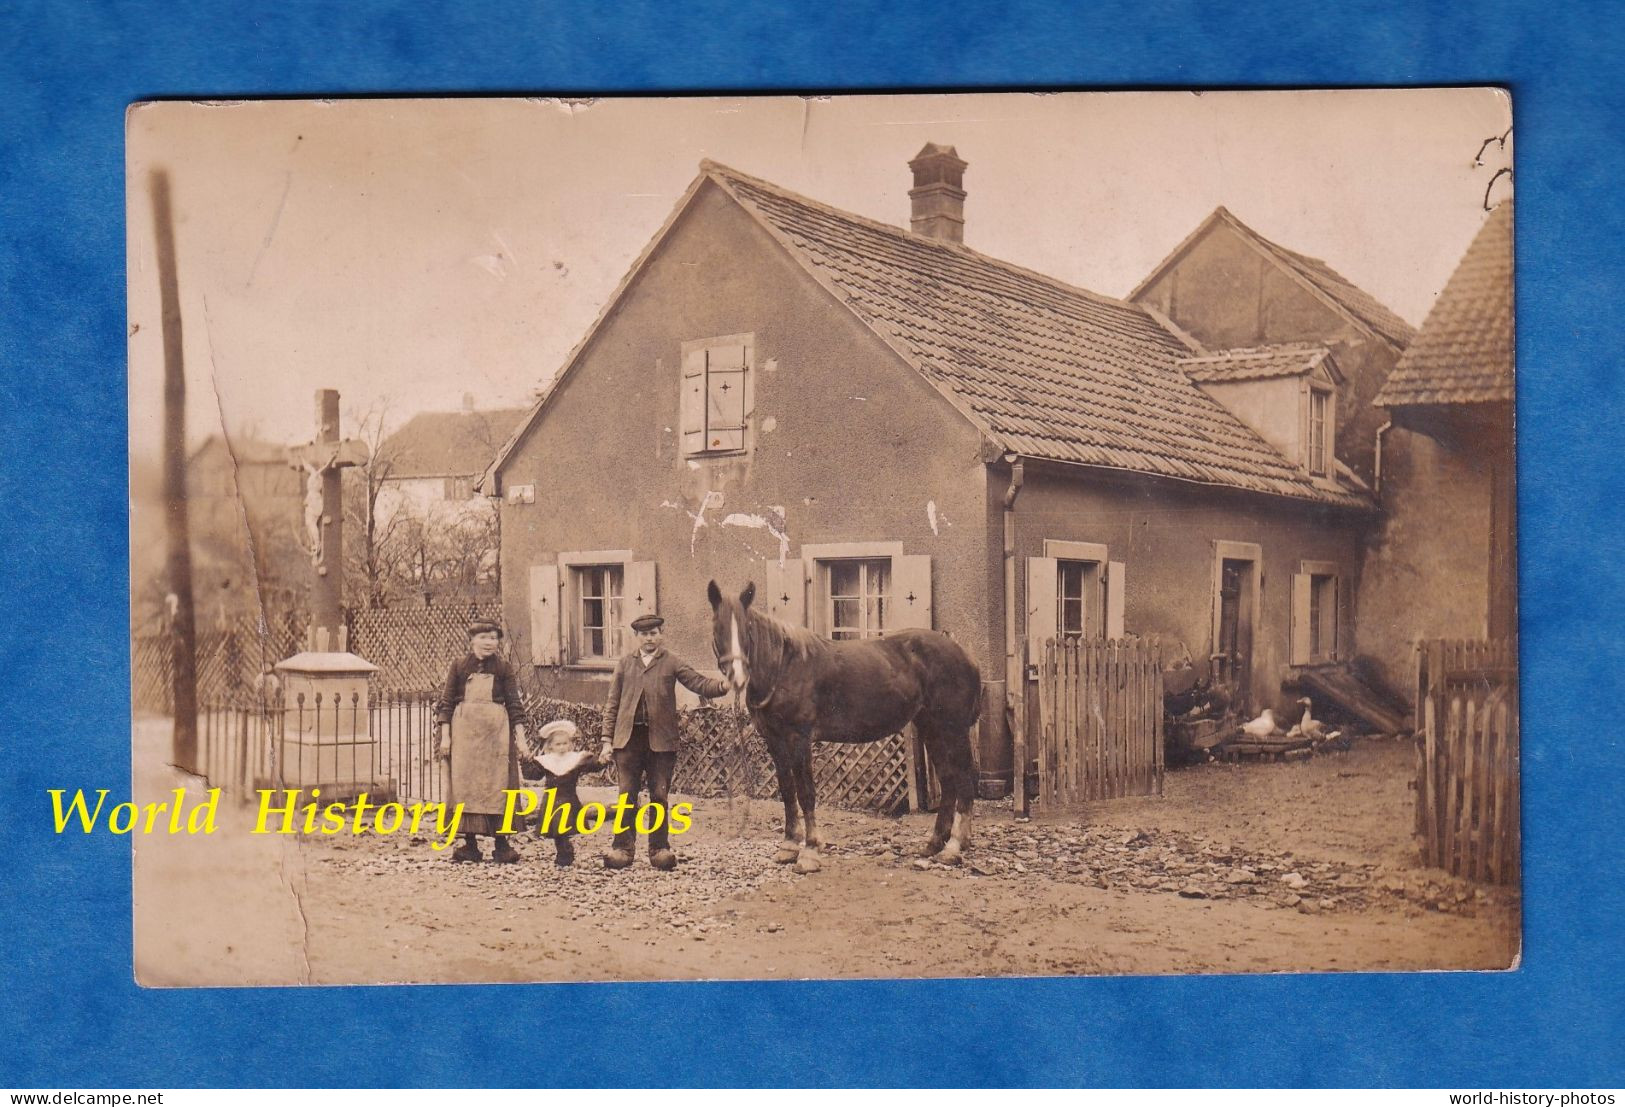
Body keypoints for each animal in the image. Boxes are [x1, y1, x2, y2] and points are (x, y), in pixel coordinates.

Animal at [708, 578, 975, 871]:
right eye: (717, 628)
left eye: (747, 629)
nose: (737, 677)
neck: (785, 666)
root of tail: (963, 654)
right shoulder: (774, 741)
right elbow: (787, 791)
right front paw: (789, 846)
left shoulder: (799, 739)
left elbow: (806, 793)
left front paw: (810, 850)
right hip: (931, 727)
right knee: (948, 780)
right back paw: (934, 844)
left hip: (954, 730)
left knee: (964, 781)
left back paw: (953, 848)